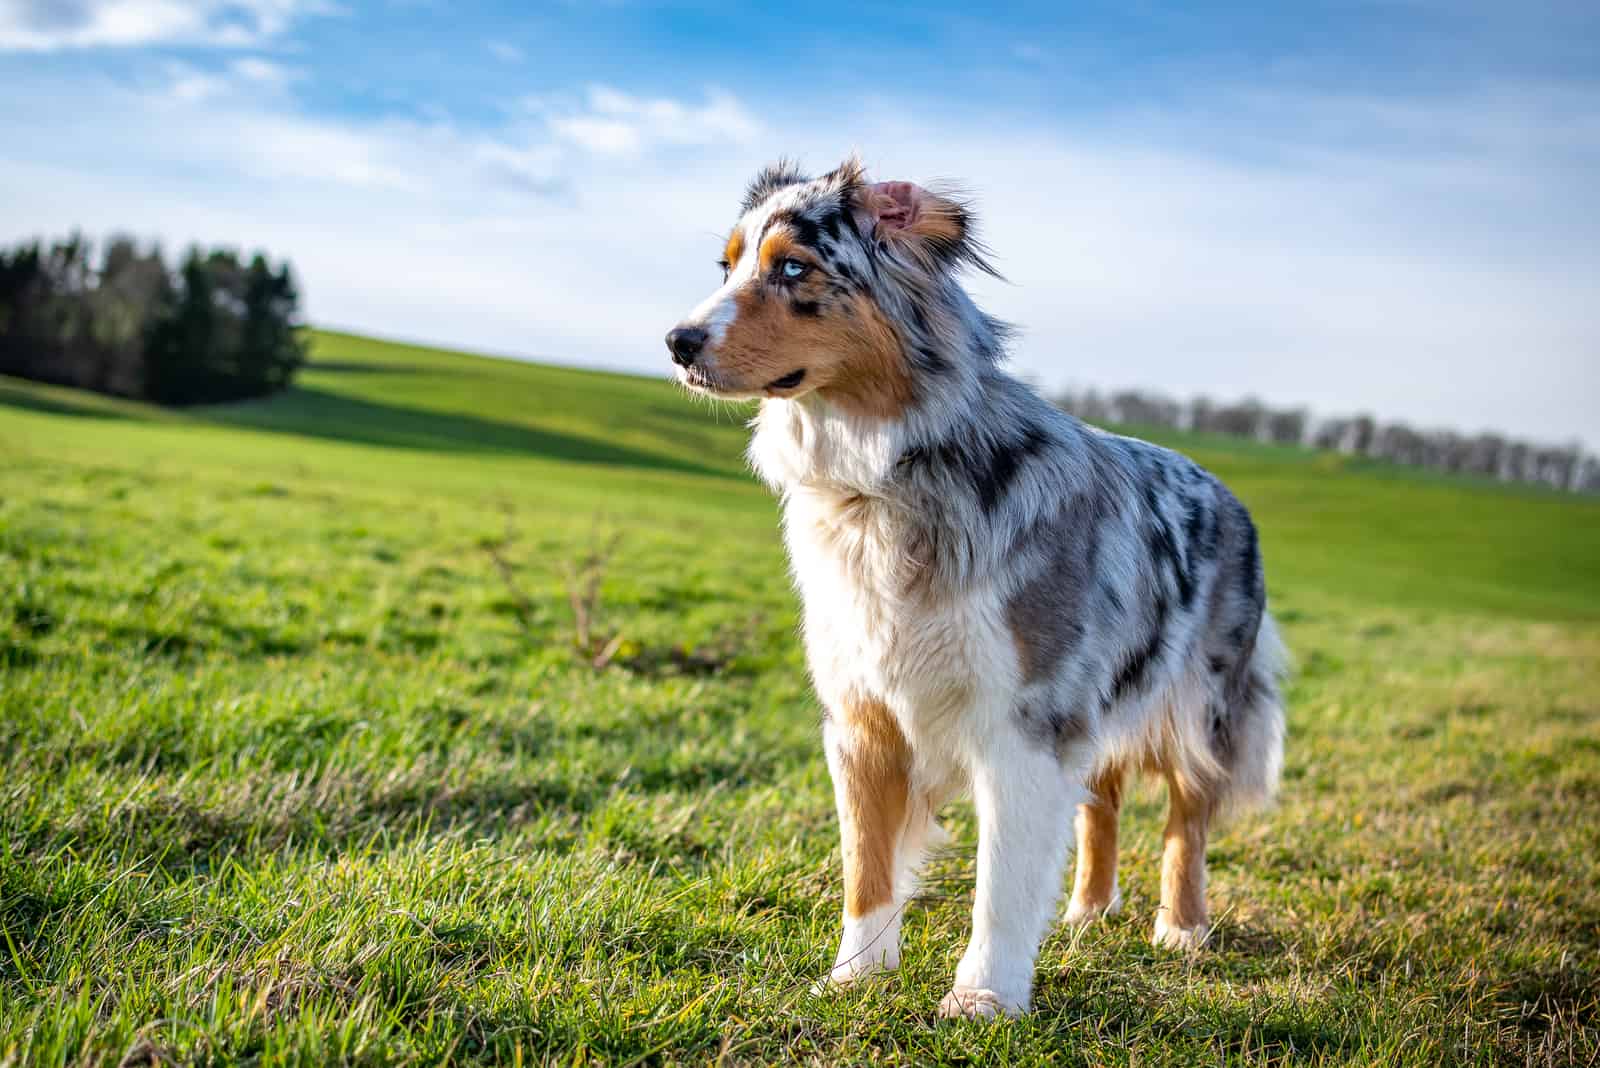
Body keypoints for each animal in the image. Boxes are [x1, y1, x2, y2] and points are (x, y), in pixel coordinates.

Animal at [662, 158, 1286, 1016]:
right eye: (726, 266)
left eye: (792, 267)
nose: (676, 342)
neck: (883, 483)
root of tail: (1224, 487)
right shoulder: (861, 720)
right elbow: (868, 869)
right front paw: (855, 977)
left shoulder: (1025, 725)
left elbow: (1002, 882)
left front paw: (983, 998)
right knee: (1105, 798)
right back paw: (1089, 910)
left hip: (1202, 702)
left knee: (1186, 818)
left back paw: (1182, 928)